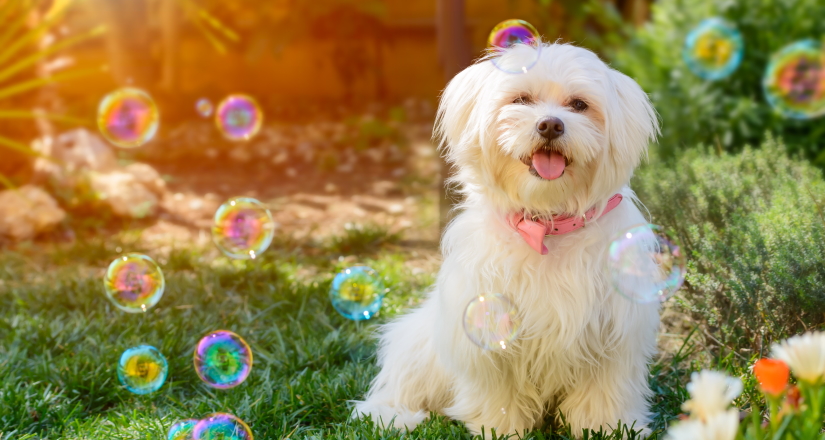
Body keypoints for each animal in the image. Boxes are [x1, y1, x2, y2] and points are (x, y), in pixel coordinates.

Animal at [352, 41, 656, 436]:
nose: (550, 124)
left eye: (578, 105)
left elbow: (603, 395)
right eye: (521, 99)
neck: (546, 222)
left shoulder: (614, 334)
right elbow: (499, 394)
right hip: (416, 344)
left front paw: (608, 429)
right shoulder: (485, 327)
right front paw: (500, 430)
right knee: (397, 387)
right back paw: (395, 415)